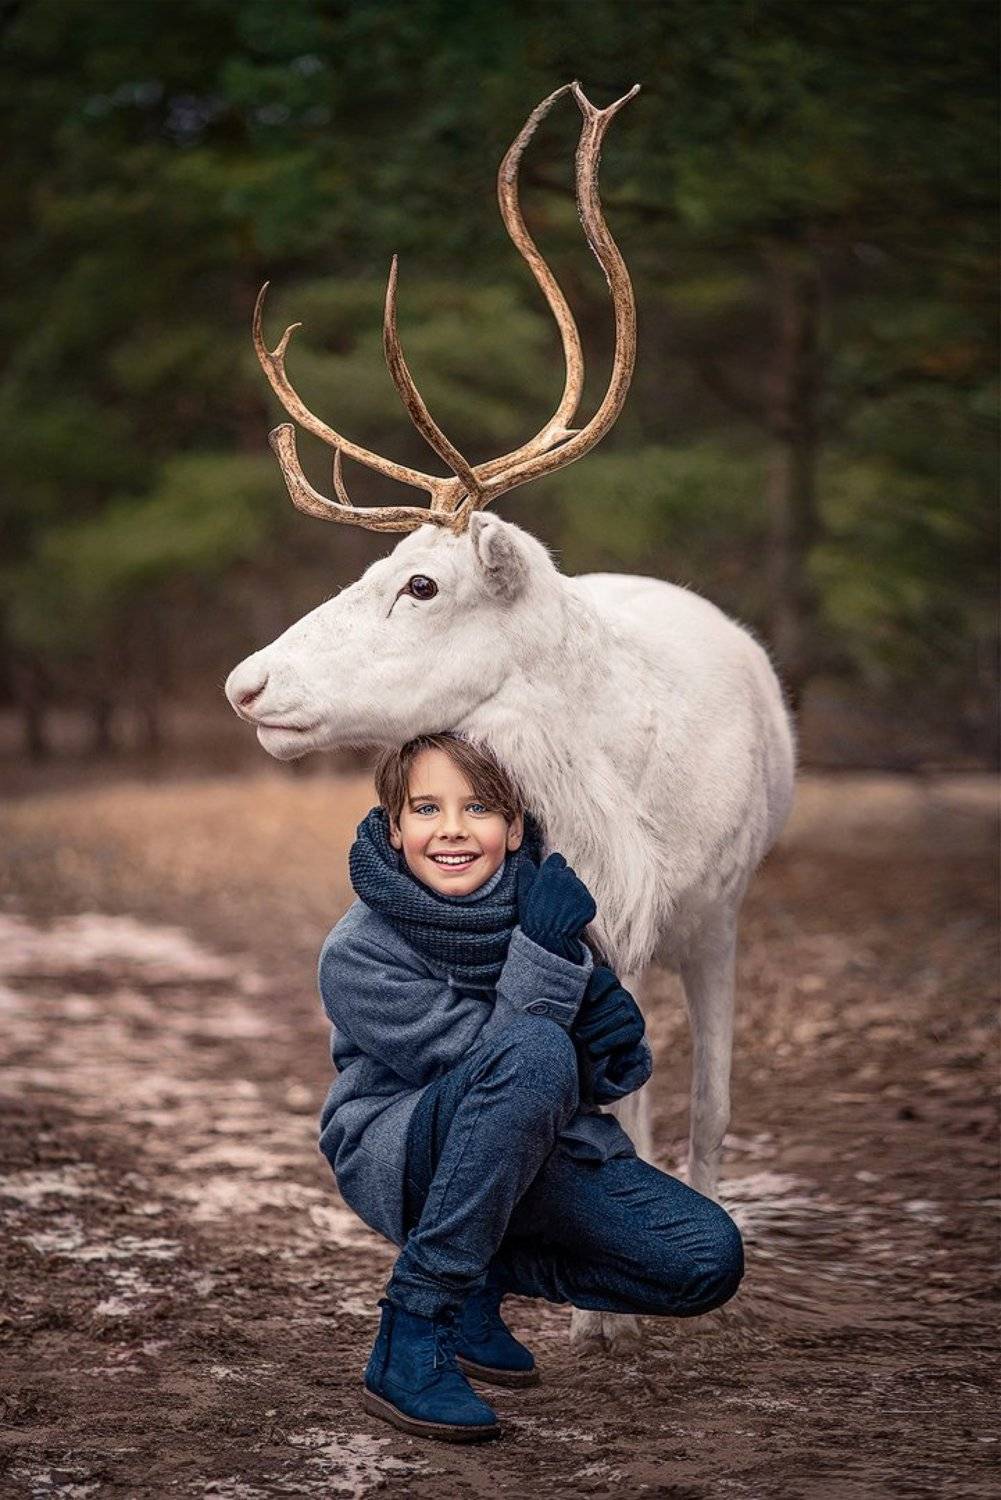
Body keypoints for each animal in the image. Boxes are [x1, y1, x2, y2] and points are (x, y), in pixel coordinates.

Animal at [225, 82, 796, 1352]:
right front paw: (589, 1315)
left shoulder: (706, 917)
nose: (246, 684)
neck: (612, 806)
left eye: (421, 584)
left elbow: (703, 1102)